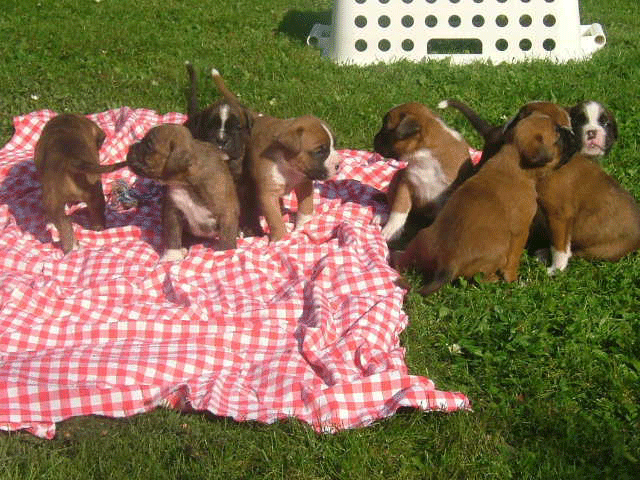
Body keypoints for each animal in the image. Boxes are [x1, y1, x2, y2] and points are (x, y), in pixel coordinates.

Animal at [33, 114, 129, 253]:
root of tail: (71, 160)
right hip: (94, 194)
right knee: (96, 218)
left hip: (52, 203)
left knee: (65, 223)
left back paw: (70, 250)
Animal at [127, 122, 240, 260]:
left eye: (149, 145)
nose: (131, 147)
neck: (186, 184)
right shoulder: (172, 212)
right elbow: (172, 235)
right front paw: (172, 255)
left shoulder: (227, 214)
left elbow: (226, 237)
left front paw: (225, 253)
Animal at [248, 114, 342, 242]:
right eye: (319, 151)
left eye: (333, 145)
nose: (338, 164)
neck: (288, 167)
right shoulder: (268, 195)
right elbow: (275, 220)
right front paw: (281, 239)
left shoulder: (305, 184)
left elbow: (305, 208)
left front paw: (303, 226)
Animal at [372, 102, 472, 242]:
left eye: (386, 128)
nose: (374, 138)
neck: (424, 155)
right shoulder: (405, 182)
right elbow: (399, 207)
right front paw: (392, 228)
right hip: (396, 178)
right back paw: (382, 216)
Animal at [392, 112, 576, 296]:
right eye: (558, 134)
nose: (572, 133)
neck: (512, 162)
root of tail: (446, 265)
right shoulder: (520, 233)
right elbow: (513, 261)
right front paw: (514, 280)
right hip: (499, 253)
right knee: (478, 278)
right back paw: (494, 279)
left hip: (421, 237)